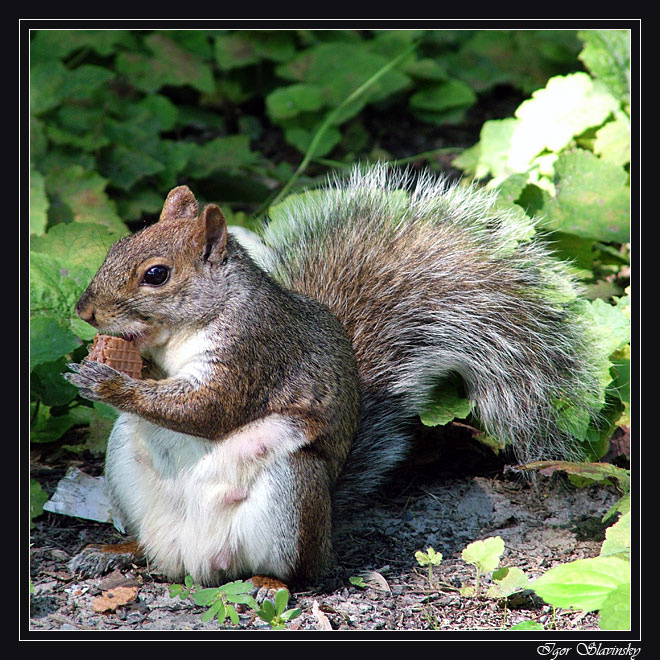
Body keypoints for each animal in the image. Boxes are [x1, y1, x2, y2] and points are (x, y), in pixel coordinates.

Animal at [64, 164, 602, 587]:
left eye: (156, 274)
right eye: (118, 244)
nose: (84, 311)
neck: (185, 330)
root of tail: (192, 561)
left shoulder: (254, 352)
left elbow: (209, 408)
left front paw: (109, 383)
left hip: (293, 492)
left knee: (299, 575)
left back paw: (267, 583)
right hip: (125, 467)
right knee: (147, 546)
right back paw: (114, 552)